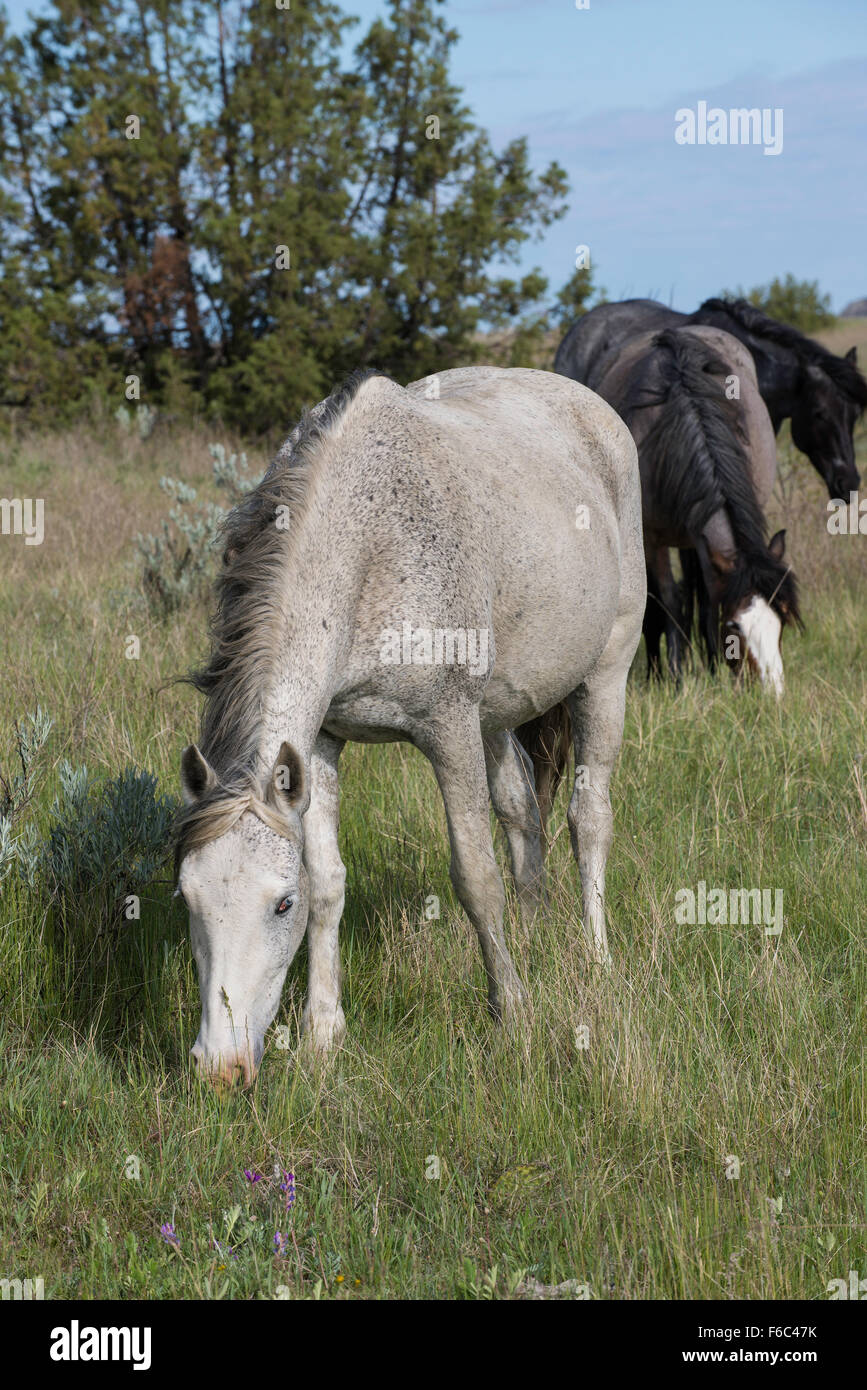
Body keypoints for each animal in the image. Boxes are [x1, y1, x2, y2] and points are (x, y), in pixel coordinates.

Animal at [175, 366, 645, 1085]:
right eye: (187, 898)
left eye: (280, 903)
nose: (220, 1069)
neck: (371, 543)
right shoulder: (320, 742)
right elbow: (331, 880)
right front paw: (323, 1032)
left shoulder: (447, 729)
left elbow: (475, 878)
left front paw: (511, 1013)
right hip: (495, 714)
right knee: (522, 815)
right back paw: (534, 937)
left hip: (605, 674)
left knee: (587, 820)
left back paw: (595, 958)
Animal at [518, 328, 801, 828]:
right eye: (736, 628)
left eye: (781, 623)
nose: (771, 695)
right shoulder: (650, 535)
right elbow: (669, 600)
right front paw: (675, 676)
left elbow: (703, 600)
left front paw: (707, 667)